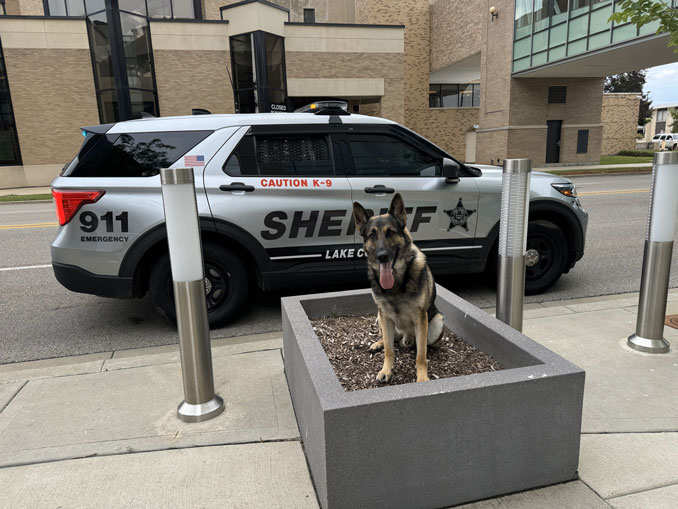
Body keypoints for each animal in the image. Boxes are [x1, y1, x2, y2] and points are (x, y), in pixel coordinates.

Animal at [356, 193, 446, 380]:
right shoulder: (385, 316)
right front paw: (386, 370)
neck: (396, 282)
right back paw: (378, 343)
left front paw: (422, 378)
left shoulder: (421, 318)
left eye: (390, 232)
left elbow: (420, 356)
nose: (382, 256)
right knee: (390, 341)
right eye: (372, 235)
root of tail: (406, 338)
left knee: (423, 346)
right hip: (380, 317)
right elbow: (389, 350)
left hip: (437, 322)